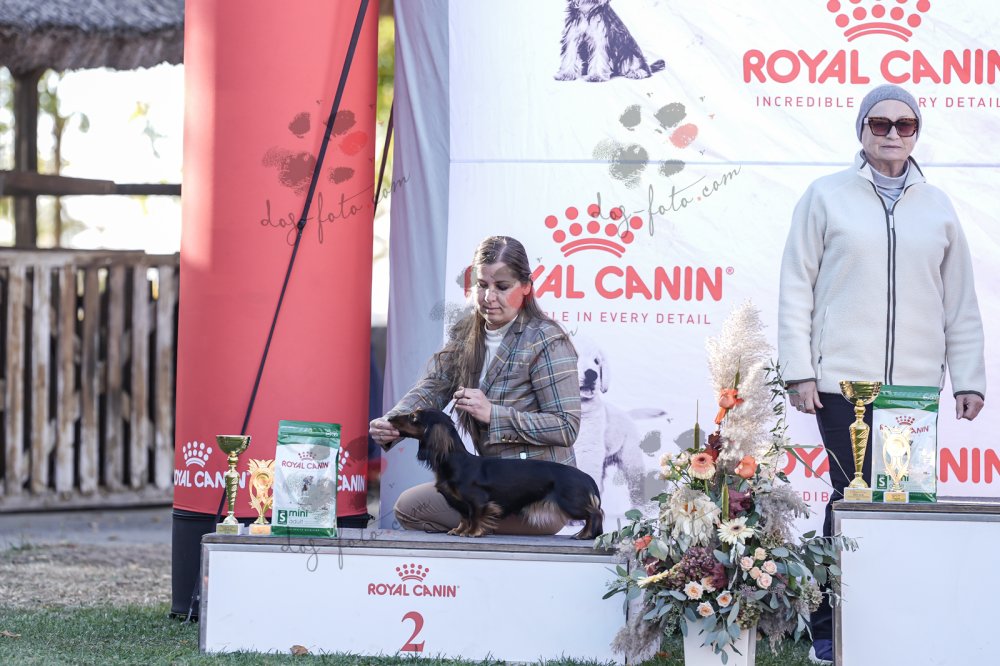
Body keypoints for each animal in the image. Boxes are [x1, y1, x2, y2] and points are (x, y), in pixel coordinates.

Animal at [388, 409, 604, 539]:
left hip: (570, 502)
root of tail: (586, 476)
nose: (389, 418)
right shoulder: (460, 503)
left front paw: (472, 532)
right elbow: (464, 517)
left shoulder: (477, 500)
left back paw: (584, 534)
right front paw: (459, 530)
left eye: (414, 417)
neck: (457, 463)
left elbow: (475, 516)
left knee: (595, 513)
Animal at [574, 336, 646, 509]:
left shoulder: (588, 451)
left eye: (596, 361)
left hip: (631, 458)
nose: (592, 374)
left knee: (637, 484)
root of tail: (628, 415)